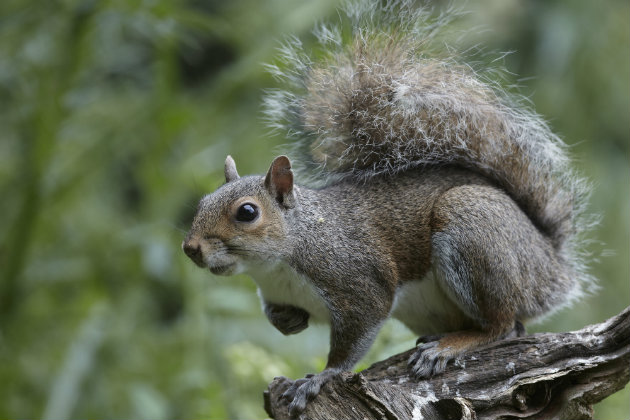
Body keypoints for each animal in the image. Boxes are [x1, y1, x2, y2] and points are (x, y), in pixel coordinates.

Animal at [183, 1, 596, 416]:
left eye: (247, 212)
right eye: (202, 203)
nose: (190, 248)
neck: (285, 256)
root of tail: (550, 264)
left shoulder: (360, 286)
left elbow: (352, 342)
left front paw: (319, 378)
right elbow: (277, 315)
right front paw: (288, 321)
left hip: (472, 227)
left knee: (505, 327)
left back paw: (450, 346)